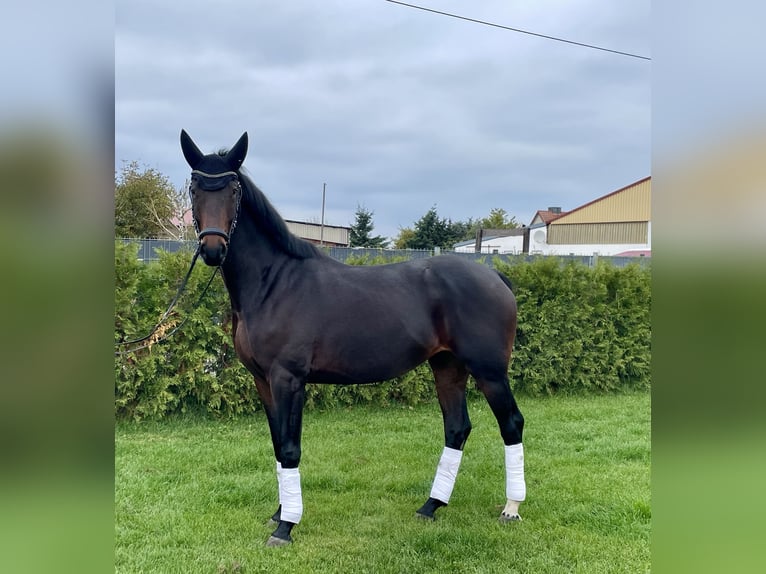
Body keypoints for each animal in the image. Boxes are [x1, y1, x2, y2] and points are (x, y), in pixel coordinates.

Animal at [180, 130, 528, 548]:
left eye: (233, 190)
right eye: (195, 188)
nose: (213, 249)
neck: (274, 283)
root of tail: (494, 277)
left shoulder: (288, 379)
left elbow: (290, 449)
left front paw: (286, 527)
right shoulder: (263, 381)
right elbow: (278, 447)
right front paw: (279, 513)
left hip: (489, 371)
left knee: (511, 424)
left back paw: (511, 507)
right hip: (447, 366)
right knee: (457, 428)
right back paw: (431, 506)